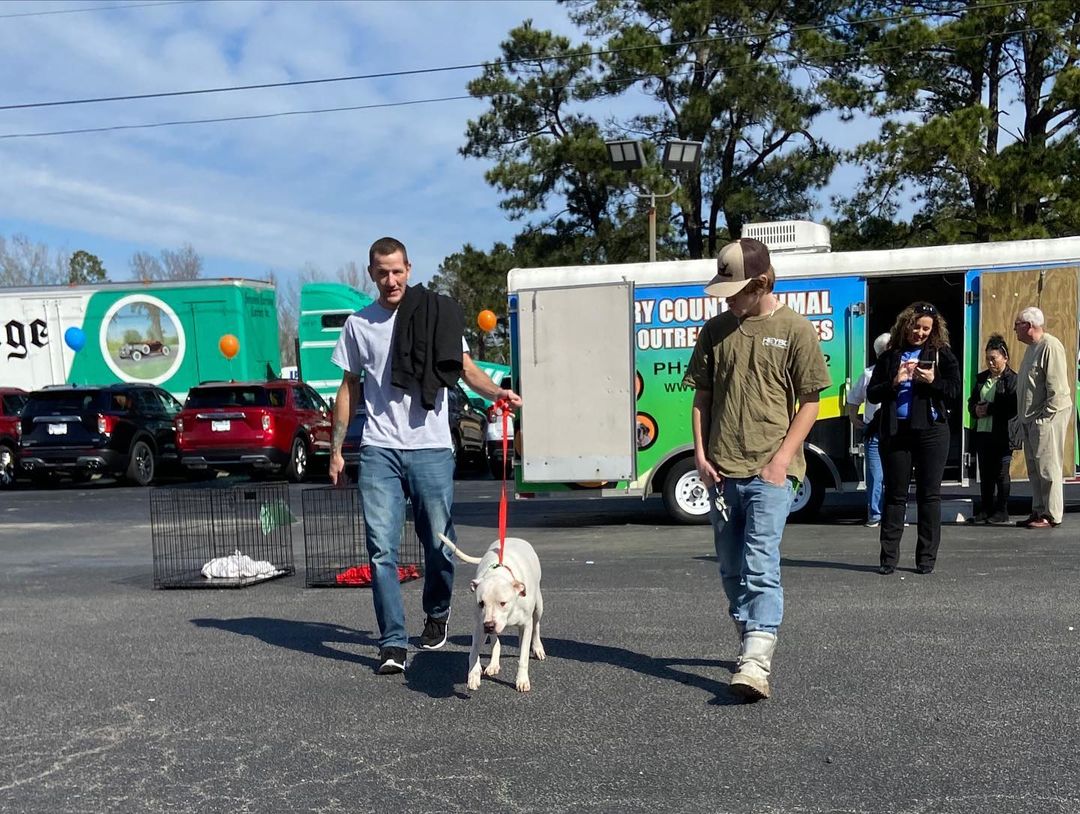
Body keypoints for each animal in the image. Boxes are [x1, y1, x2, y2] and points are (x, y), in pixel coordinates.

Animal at [436, 533, 544, 690]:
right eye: (481, 603)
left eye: (503, 603)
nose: (489, 625)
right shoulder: (480, 625)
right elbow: (474, 651)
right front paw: (473, 673)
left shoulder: (526, 624)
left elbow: (524, 655)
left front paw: (522, 680)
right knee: (495, 641)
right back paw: (493, 664)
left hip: (538, 606)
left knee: (536, 625)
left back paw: (537, 647)